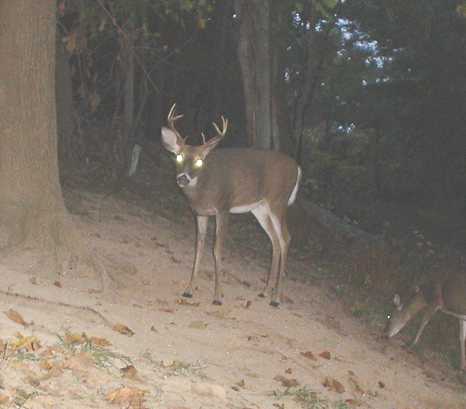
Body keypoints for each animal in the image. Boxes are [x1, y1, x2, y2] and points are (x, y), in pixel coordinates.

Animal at [161, 103, 302, 304]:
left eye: (199, 161)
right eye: (179, 156)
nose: (183, 178)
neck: (204, 189)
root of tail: (297, 167)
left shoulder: (223, 207)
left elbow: (217, 249)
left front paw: (217, 296)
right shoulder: (200, 213)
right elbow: (198, 248)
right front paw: (188, 290)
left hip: (278, 201)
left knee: (286, 238)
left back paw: (276, 298)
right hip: (260, 208)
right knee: (274, 240)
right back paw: (264, 292)